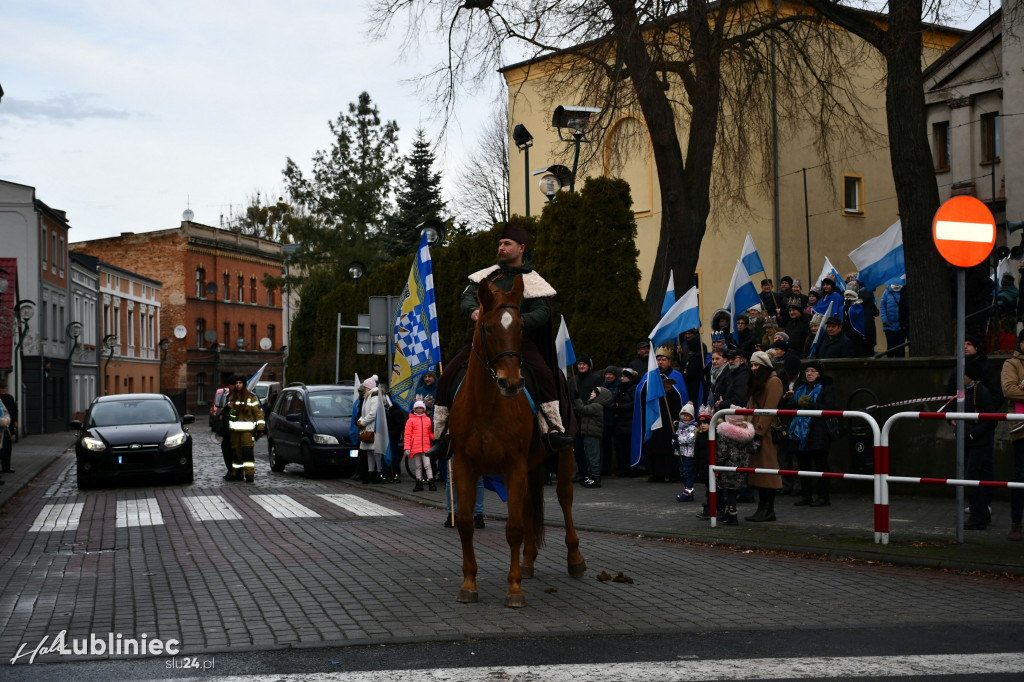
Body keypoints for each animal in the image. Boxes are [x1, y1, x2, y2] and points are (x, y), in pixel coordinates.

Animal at [448, 274, 585, 602]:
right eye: (487, 327)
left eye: (521, 328)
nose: (510, 382)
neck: (486, 405)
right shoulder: (464, 466)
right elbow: (466, 523)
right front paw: (469, 584)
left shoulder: (514, 466)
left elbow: (513, 528)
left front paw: (514, 589)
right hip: (532, 466)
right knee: (529, 507)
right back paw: (528, 561)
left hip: (562, 455)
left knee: (565, 498)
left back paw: (575, 559)